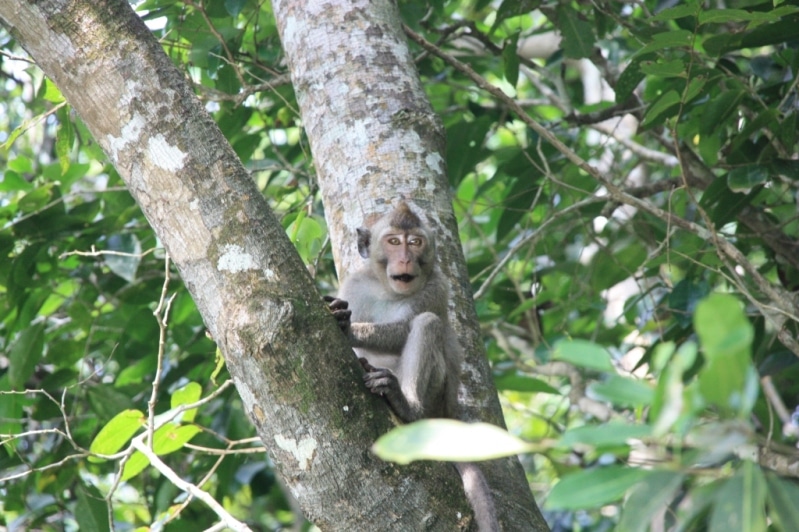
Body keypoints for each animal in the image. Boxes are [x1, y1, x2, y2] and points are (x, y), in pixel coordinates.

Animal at [326, 203, 500, 532]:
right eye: (394, 242)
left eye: (415, 242)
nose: (405, 258)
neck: (388, 290)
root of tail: (448, 411)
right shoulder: (356, 284)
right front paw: (341, 317)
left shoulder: (436, 285)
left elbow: (405, 328)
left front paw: (348, 327)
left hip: (437, 395)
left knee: (427, 323)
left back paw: (406, 405)